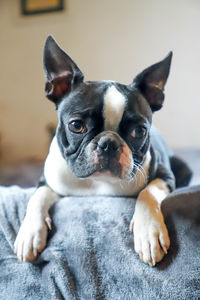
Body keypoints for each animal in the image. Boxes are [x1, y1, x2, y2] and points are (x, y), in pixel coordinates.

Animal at [14, 36, 192, 266]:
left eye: (139, 131)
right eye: (76, 126)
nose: (108, 143)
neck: (97, 183)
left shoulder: (164, 174)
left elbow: (148, 193)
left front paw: (148, 232)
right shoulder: (48, 180)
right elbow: (37, 197)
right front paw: (29, 233)